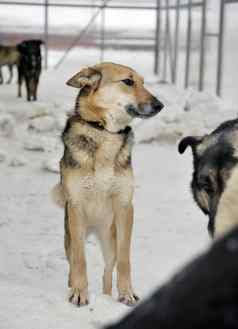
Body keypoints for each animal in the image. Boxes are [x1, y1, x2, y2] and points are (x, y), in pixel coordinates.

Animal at [52, 62, 164, 306]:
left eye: (143, 82)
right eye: (128, 82)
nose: (160, 105)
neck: (105, 132)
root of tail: (94, 229)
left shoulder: (124, 206)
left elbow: (124, 259)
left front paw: (127, 293)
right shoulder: (76, 206)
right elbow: (80, 260)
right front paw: (79, 293)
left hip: (109, 238)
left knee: (107, 270)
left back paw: (107, 295)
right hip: (71, 234)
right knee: (73, 260)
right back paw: (73, 284)